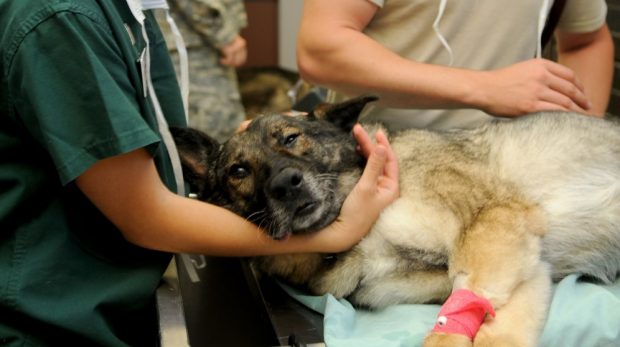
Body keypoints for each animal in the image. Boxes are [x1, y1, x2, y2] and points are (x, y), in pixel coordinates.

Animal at [172, 96, 620, 347]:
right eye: (238, 171)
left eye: (291, 138)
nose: (286, 184)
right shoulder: (523, 265)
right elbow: (491, 321)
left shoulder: (492, 224)